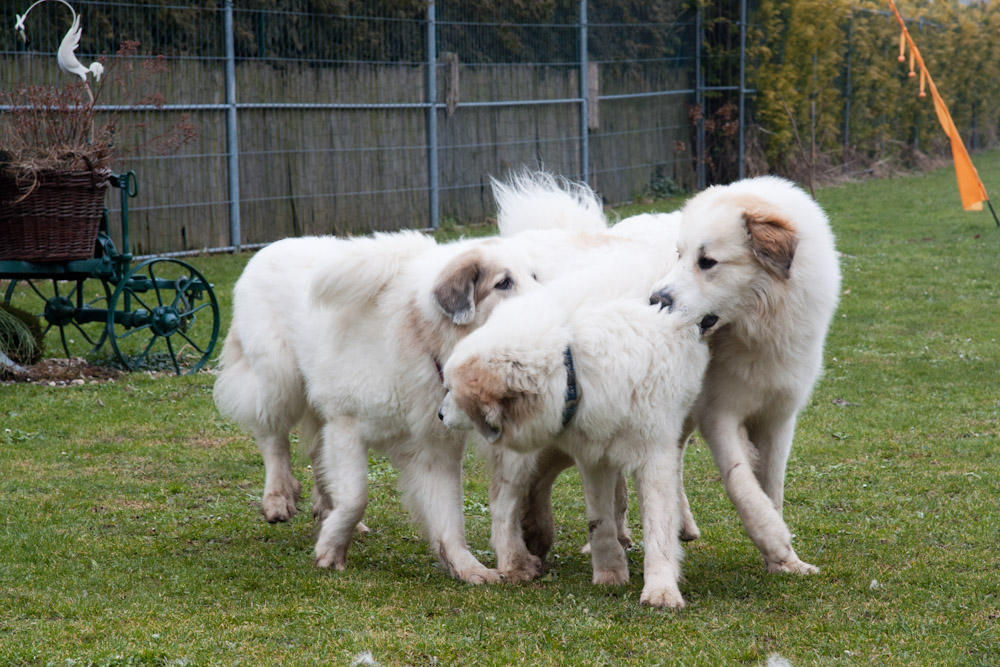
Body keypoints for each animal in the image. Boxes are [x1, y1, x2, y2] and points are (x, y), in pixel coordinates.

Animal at [213, 231, 548, 584]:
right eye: (503, 283)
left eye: (535, 276)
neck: (419, 331)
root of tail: (270, 247)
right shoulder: (347, 425)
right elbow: (356, 497)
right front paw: (332, 549)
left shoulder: (435, 448)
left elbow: (449, 516)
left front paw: (467, 566)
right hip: (279, 381)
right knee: (272, 438)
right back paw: (278, 497)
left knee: (316, 453)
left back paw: (325, 508)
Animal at [442, 247, 716, 612]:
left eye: (452, 390)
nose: (440, 414)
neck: (572, 363)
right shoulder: (593, 457)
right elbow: (599, 521)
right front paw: (610, 572)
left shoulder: (653, 455)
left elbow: (657, 527)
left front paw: (660, 589)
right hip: (532, 450)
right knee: (505, 502)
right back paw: (517, 560)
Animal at [648, 176, 844, 576]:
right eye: (679, 255)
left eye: (707, 262)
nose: (655, 299)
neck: (758, 326)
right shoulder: (719, 414)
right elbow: (740, 481)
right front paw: (772, 538)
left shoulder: (778, 419)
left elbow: (772, 486)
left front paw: (784, 563)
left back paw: (683, 524)